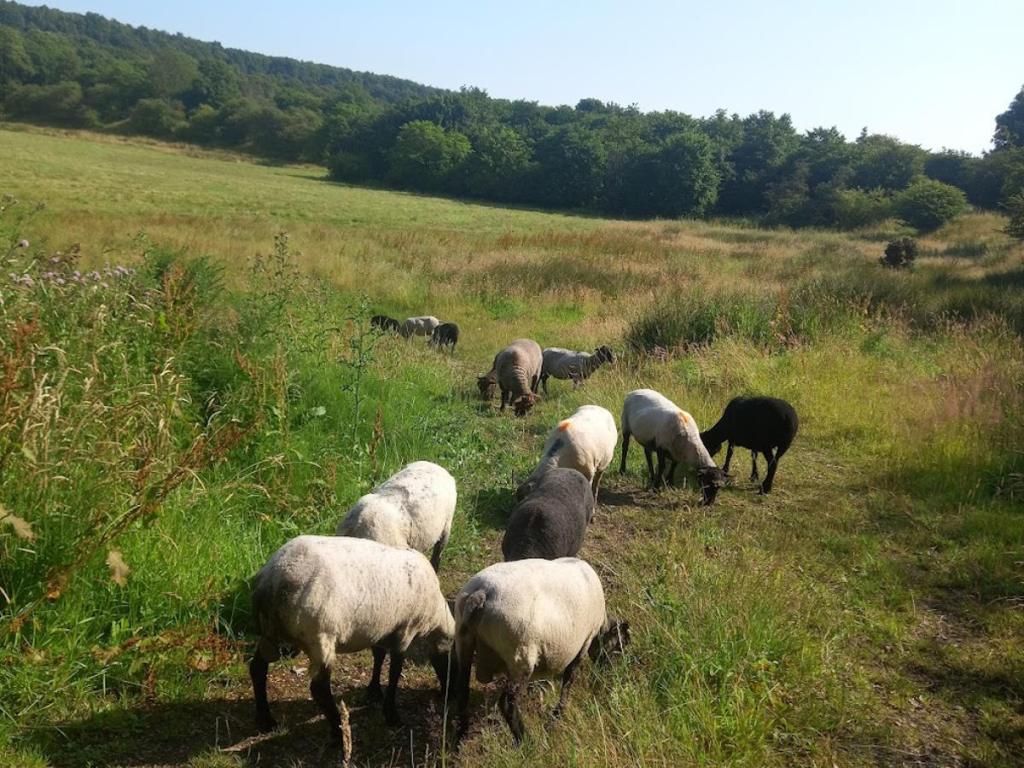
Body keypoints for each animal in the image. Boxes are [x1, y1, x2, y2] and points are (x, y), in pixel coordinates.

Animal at [248, 535, 455, 765]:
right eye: (452, 660)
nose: (449, 693)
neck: (434, 617)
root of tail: (272, 578)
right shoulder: (405, 631)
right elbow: (395, 672)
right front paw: (392, 714)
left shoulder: (381, 630)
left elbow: (379, 657)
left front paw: (374, 691)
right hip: (320, 637)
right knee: (319, 688)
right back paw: (338, 733)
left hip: (273, 635)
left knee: (257, 668)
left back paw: (266, 719)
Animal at [453, 558, 630, 744]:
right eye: (620, 646)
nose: (608, 673)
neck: (601, 624)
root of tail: (481, 592)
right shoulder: (585, 642)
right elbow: (569, 678)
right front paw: (558, 714)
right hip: (520, 655)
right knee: (507, 703)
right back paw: (525, 741)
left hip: (463, 643)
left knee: (462, 692)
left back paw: (460, 737)